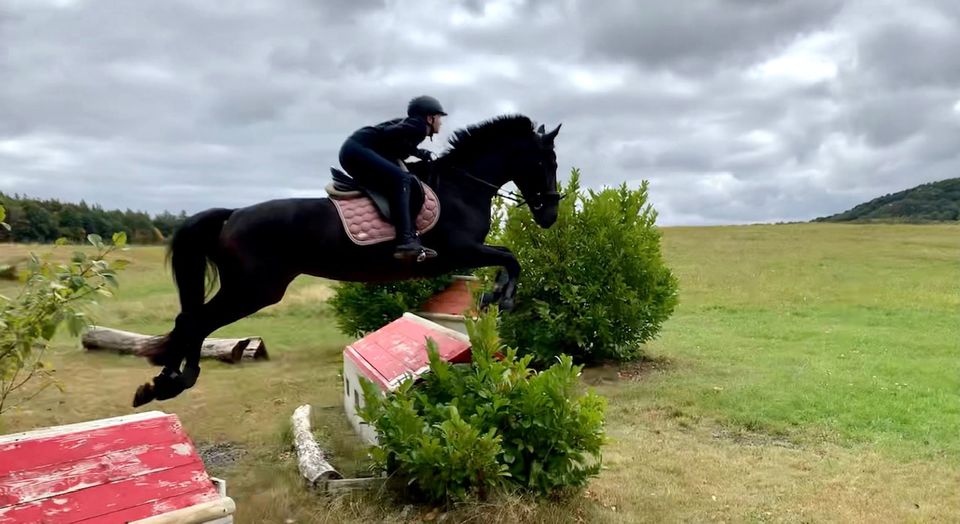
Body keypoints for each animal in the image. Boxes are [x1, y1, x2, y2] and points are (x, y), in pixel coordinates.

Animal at [131, 114, 560, 408]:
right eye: (547, 163)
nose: (551, 216)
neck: (462, 186)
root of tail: (232, 214)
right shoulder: (460, 250)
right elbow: (510, 258)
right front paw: (502, 298)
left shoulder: (465, 253)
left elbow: (507, 258)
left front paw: (494, 297)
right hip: (254, 289)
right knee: (195, 321)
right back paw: (171, 382)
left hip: (250, 289)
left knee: (191, 321)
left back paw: (164, 382)